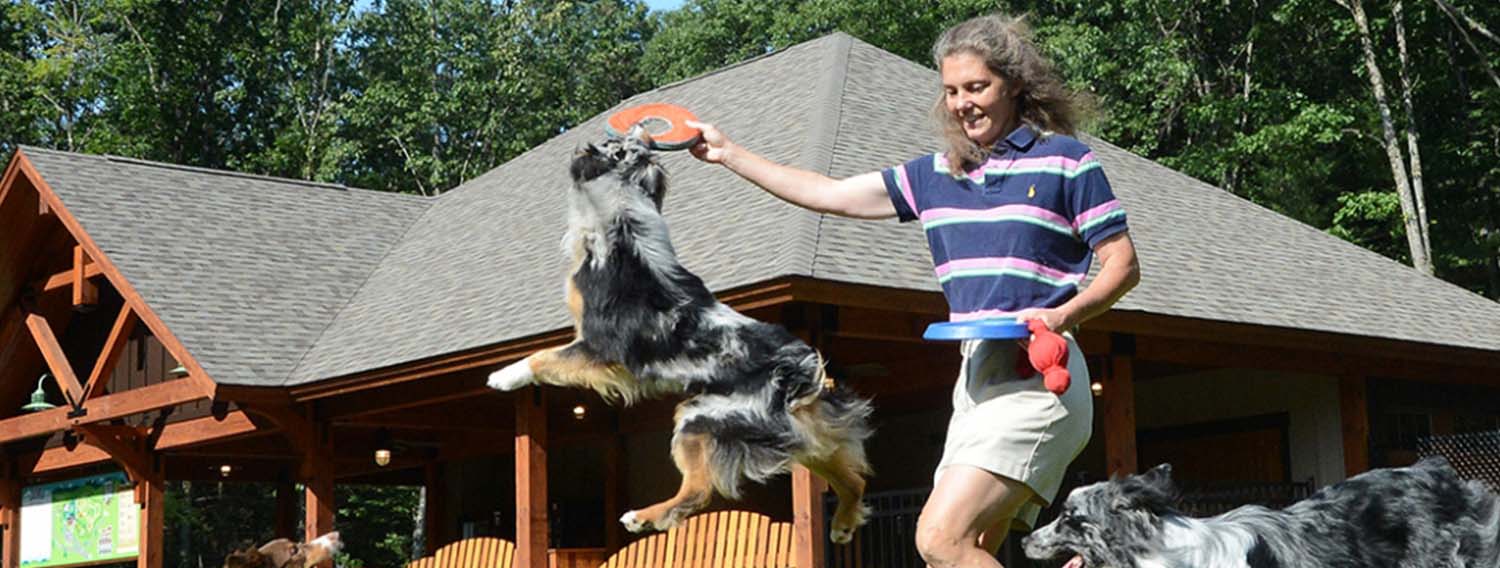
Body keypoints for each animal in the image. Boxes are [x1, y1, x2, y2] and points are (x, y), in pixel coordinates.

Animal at [486, 126, 876, 545]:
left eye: (614, 145)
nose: (640, 129)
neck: (622, 217)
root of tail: (800, 374)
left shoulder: (600, 347)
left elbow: (543, 357)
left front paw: (504, 376)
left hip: (702, 419)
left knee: (699, 491)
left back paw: (642, 517)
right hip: (802, 439)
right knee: (854, 480)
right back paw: (842, 524)